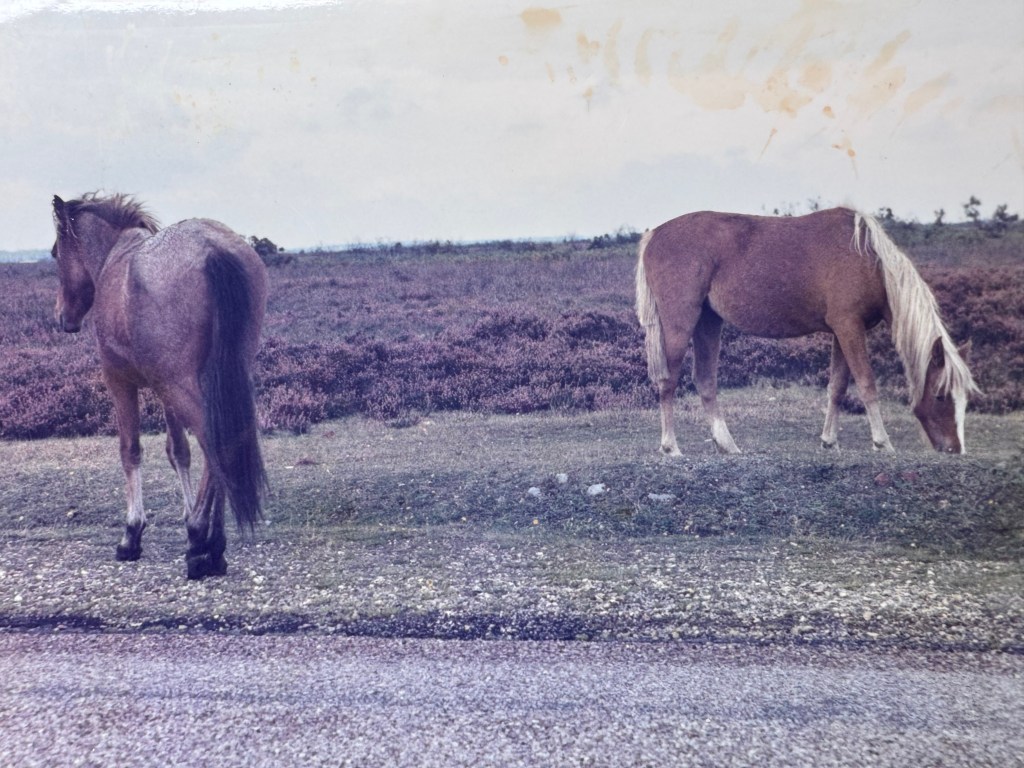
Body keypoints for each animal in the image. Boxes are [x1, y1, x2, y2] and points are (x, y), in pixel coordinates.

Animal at [51, 192, 268, 579]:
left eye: (54, 252)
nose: (62, 316)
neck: (114, 258)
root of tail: (211, 248)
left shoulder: (120, 381)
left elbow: (131, 451)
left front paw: (132, 535)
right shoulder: (164, 391)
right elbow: (179, 451)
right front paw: (187, 519)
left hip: (180, 386)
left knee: (213, 442)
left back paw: (201, 544)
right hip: (211, 382)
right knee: (220, 444)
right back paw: (211, 544)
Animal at [635, 207, 978, 456]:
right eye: (940, 395)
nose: (955, 449)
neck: (870, 260)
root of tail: (654, 235)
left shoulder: (843, 331)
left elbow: (837, 386)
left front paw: (830, 440)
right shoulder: (849, 327)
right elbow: (866, 383)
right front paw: (883, 442)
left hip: (708, 322)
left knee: (705, 380)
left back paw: (728, 445)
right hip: (681, 322)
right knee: (669, 380)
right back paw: (671, 447)